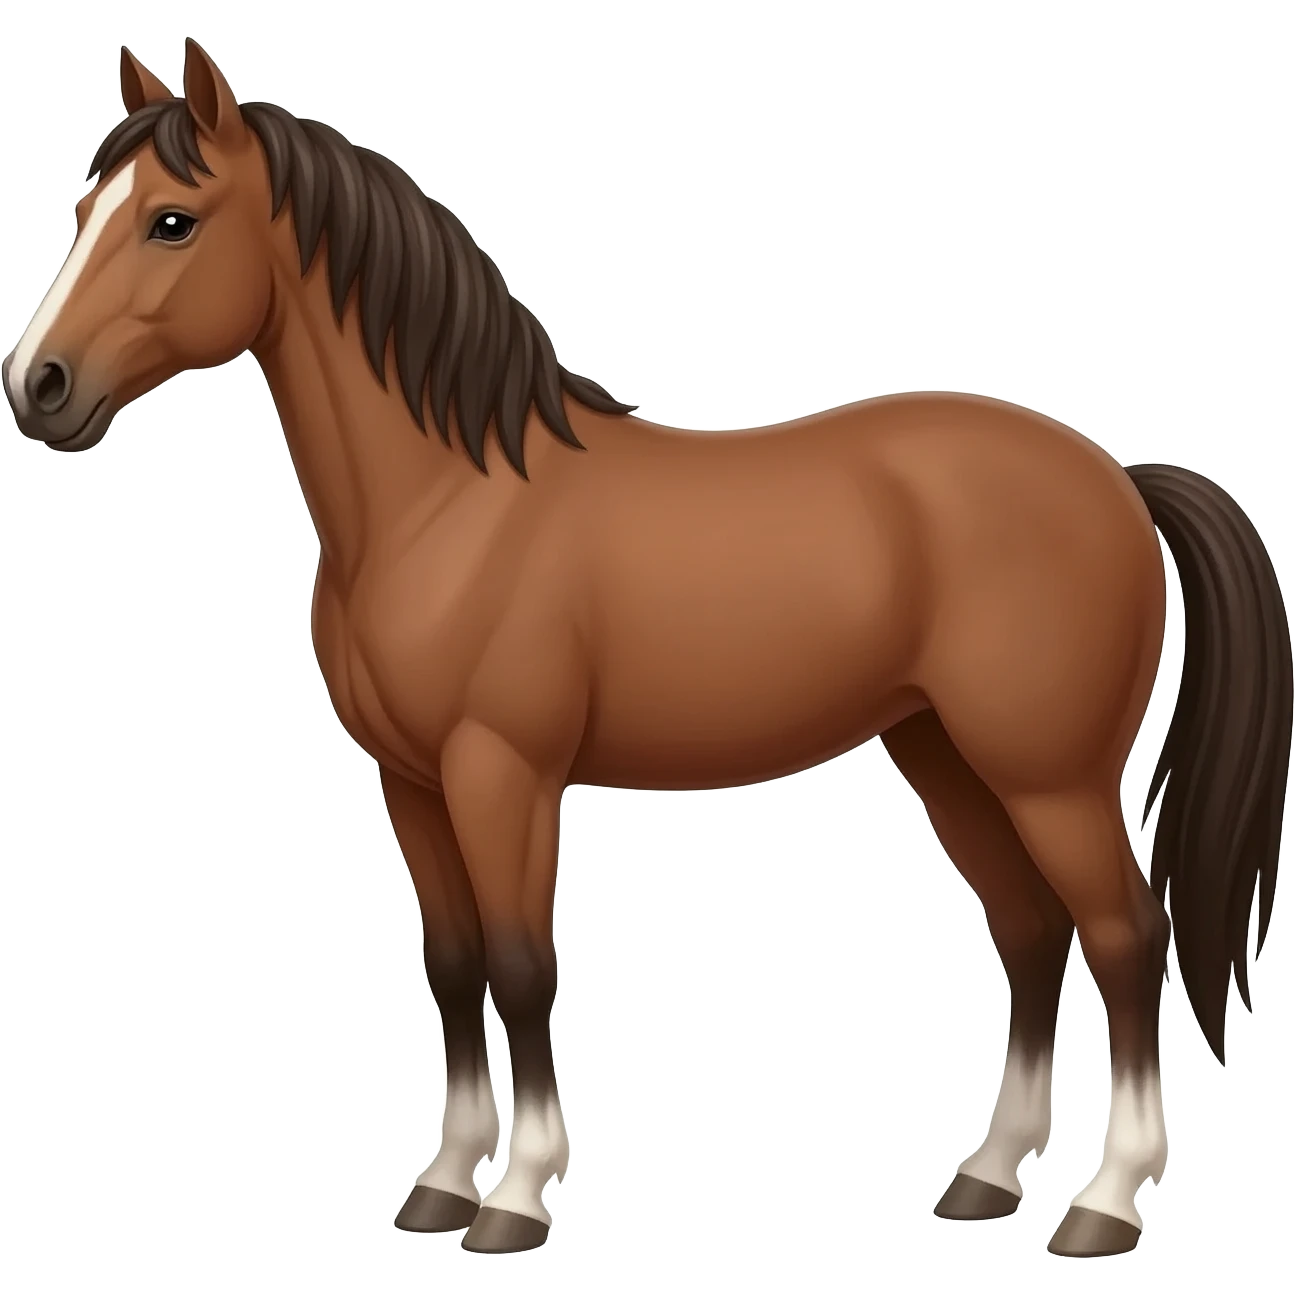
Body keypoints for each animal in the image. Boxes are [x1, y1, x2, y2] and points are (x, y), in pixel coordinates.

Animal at [3, 38, 1290, 1260]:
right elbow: (452, 962)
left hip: (1047, 774)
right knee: (1029, 933)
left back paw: (1103, 1202)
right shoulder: (411, 783)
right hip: (944, 755)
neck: (449, 502)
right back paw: (986, 1176)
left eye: (172, 220)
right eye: (84, 210)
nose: (38, 386)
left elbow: (523, 964)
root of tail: (1114, 477)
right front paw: (439, 1181)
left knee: (1124, 937)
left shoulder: (502, 772)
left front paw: (516, 1195)